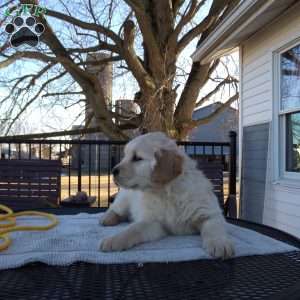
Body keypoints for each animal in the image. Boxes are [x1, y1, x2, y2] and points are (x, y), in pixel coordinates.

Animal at [99, 132, 236, 258]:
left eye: (137, 158)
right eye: (125, 156)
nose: (113, 171)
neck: (166, 192)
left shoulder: (208, 213)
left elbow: (214, 227)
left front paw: (219, 244)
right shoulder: (153, 221)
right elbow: (133, 229)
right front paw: (114, 240)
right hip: (125, 198)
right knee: (115, 208)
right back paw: (107, 219)